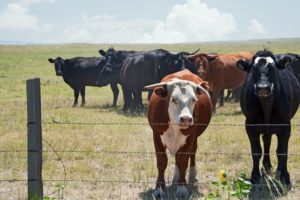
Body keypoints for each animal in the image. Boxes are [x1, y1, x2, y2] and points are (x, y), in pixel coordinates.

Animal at [146, 69, 213, 198]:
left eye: (194, 99)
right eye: (173, 99)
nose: (186, 118)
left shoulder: (190, 138)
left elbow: (183, 161)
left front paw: (182, 187)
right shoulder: (156, 136)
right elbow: (162, 162)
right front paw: (159, 189)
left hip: (194, 138)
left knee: (191, 153)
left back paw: (191, 175)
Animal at [237, 50, 300, 186]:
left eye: (273, 68)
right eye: (253, 69)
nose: (263, 87)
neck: (267, 105)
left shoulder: (286, 125)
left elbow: (282, 152)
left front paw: (285, 176)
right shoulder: (250, 125)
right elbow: (256, 152)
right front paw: (255, 175)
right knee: (266, 141)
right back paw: (266, 165)